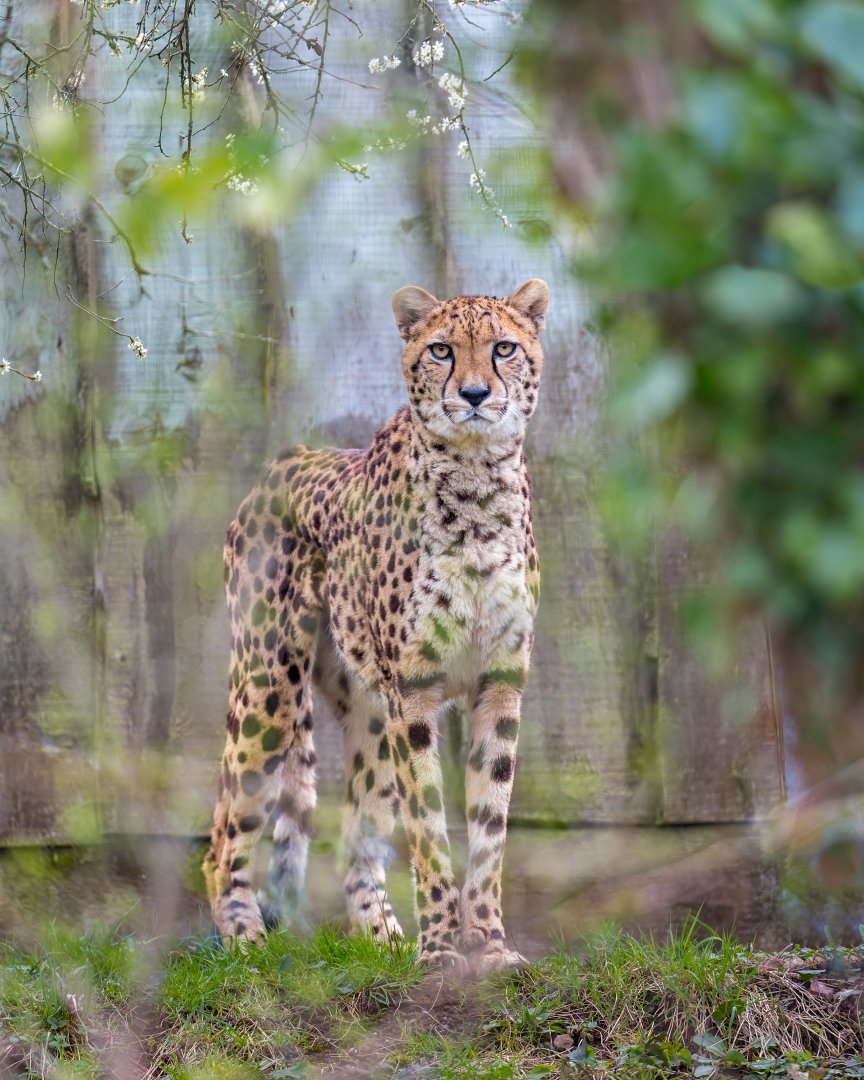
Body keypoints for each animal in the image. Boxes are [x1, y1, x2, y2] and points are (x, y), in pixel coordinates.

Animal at [203, 278, 550, 973]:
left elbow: (489, 828)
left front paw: (490, 945)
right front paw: (441, 951)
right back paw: (245, 940)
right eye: (442, 350)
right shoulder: (412, 693)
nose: (475, 394)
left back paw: (381, 938)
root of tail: (285, 459)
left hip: (365, 707)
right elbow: (429, 825)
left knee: (355, 839)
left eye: (503, 348)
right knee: (225, 830)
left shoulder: (500, 683)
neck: (477, 480)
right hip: (271, 687)